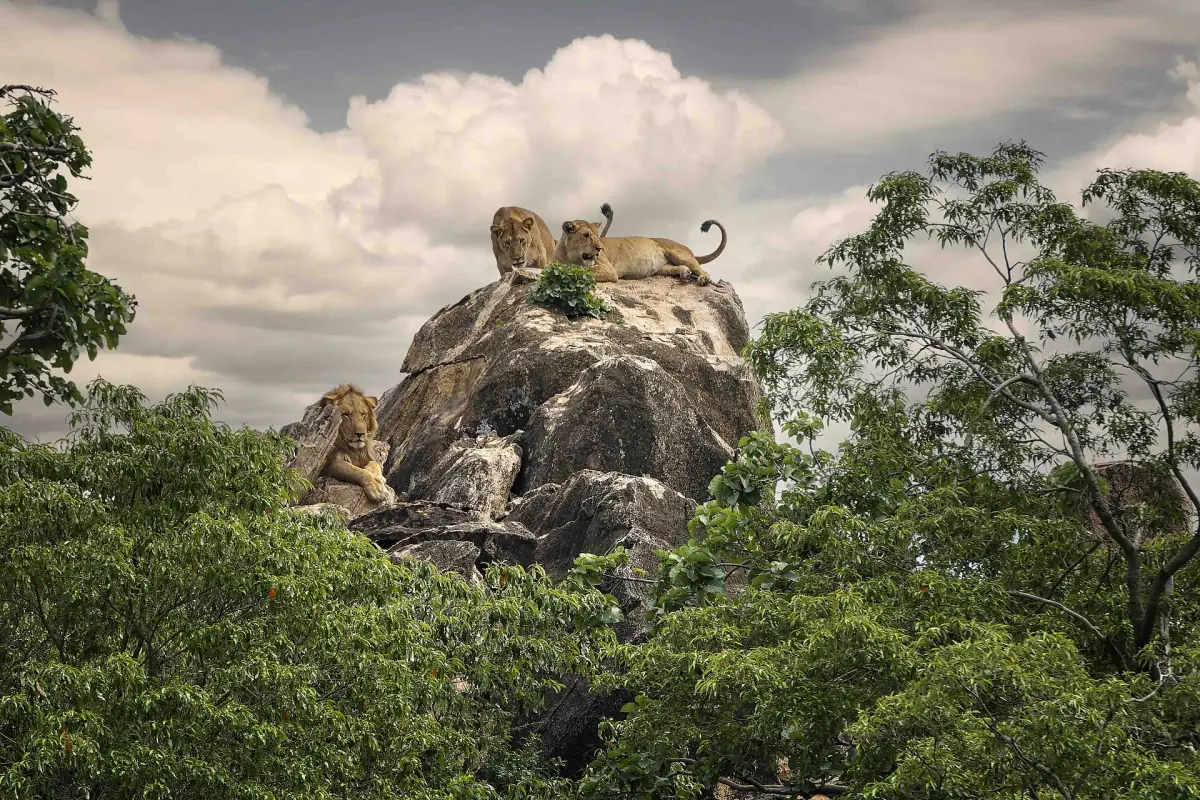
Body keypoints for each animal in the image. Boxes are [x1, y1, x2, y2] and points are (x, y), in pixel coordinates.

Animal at [552, 216, 726, 286]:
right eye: (586, 235)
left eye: (597, 235)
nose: (599, 248)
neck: (572, 256)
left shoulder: (608, 270)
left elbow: (583, 271)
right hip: (662, 268)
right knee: (680, 268)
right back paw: (685, 274)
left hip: (677, 253)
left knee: (700, 268)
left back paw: (703, 279)